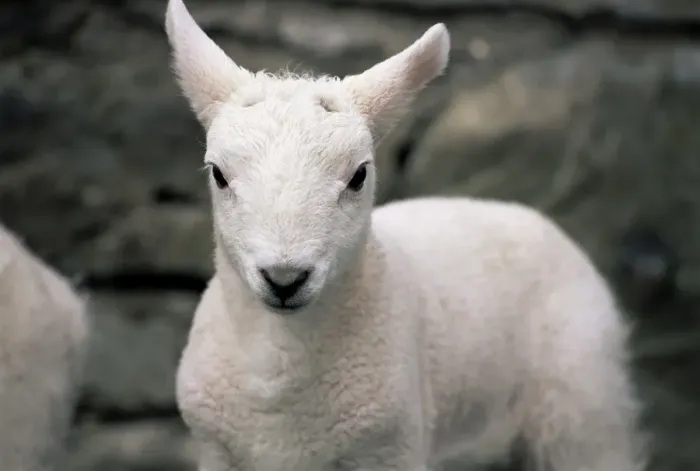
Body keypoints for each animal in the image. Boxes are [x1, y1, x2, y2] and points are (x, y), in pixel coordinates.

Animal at [165, 0, 648, 469]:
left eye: (359, 175)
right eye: (219, 175)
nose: (285, 278)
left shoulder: (388, 446)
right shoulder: (217, 450)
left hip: (581, 403)